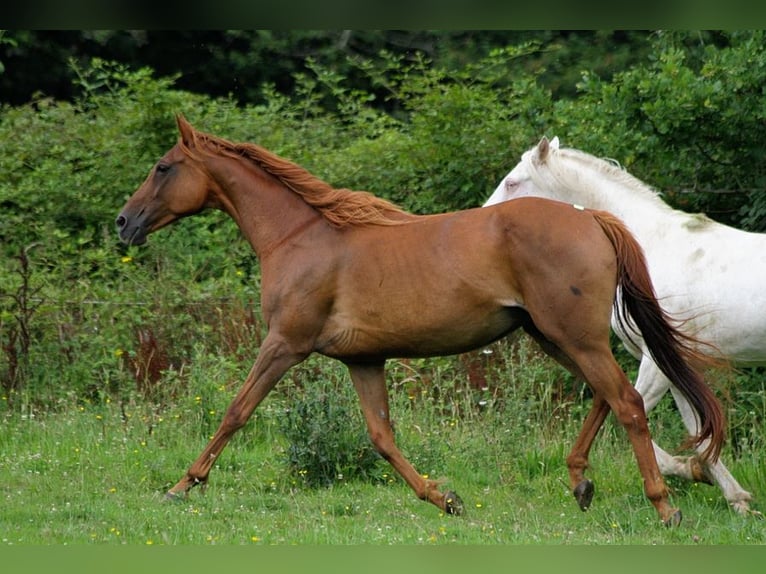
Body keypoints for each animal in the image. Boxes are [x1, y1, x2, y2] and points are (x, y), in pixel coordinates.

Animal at [115, 116, 728, 528]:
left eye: (162, 167)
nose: (124, 222)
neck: (301, 239)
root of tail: (593, 218)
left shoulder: (284, 343)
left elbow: (235, 412)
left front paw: (181, 486)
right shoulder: (362, 360)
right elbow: (382, 437)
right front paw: (444, 498)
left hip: (573, 337)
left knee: (625, 402)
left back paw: (663, 507)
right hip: (555, 337)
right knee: (606, 396)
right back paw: (581, 481)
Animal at [488, 136, 764, 516]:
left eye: (513, 183)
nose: (483, 219)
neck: (652, 249)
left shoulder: (655, 360)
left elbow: (634, 413)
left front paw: (686, 472)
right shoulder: (678, 361)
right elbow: (698, 426)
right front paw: (733, 496)